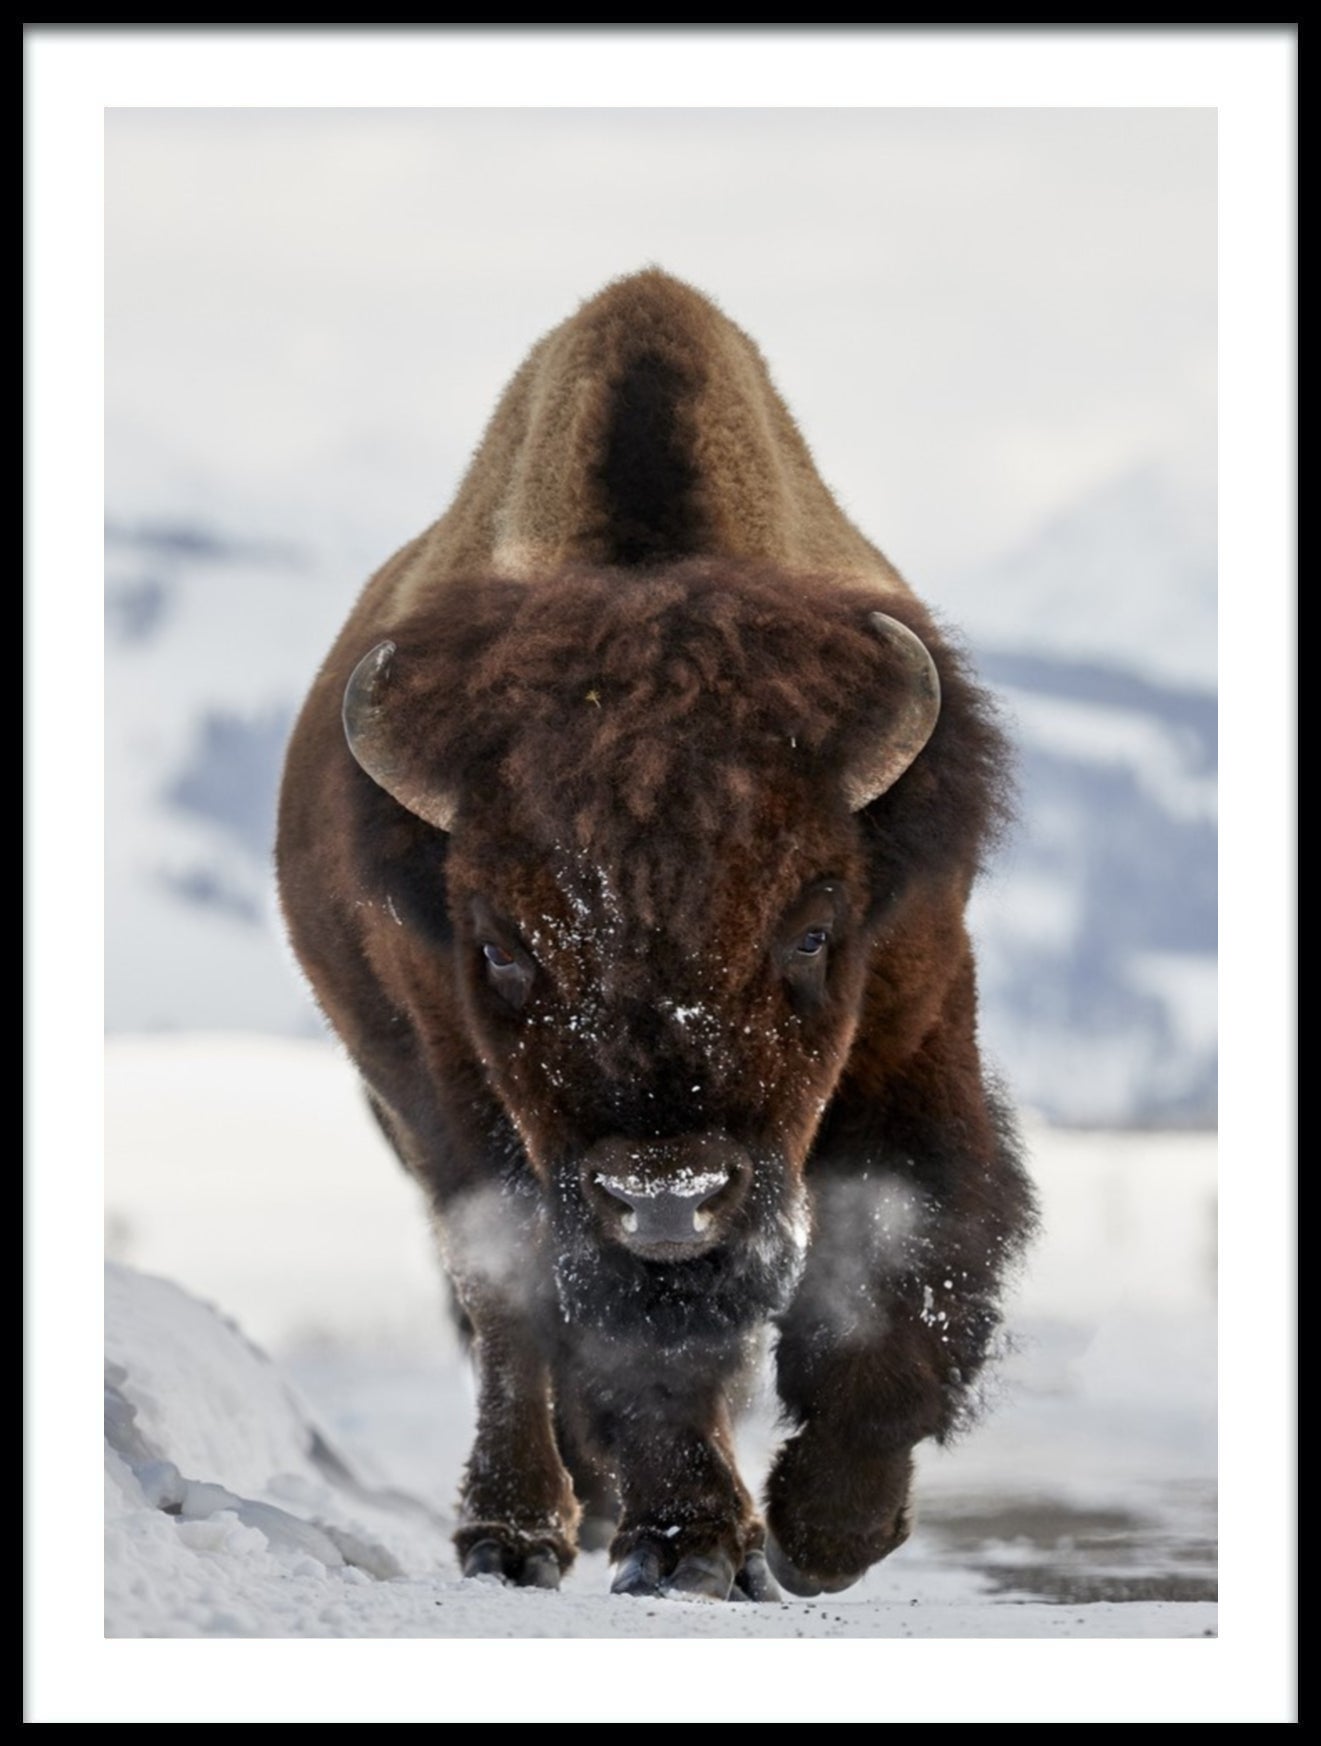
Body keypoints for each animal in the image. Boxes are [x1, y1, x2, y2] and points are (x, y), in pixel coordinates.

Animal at [277, 268, 1033, 1599]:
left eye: (813, 928)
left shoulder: (917, 1015)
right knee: (508, 1309)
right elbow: (587, 1321)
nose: (667, 1200)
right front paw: (688, 1544)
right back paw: (520, 1532)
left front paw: (826, 1532)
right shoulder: (468, 1089)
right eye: (500, 947)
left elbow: (908, 1241)